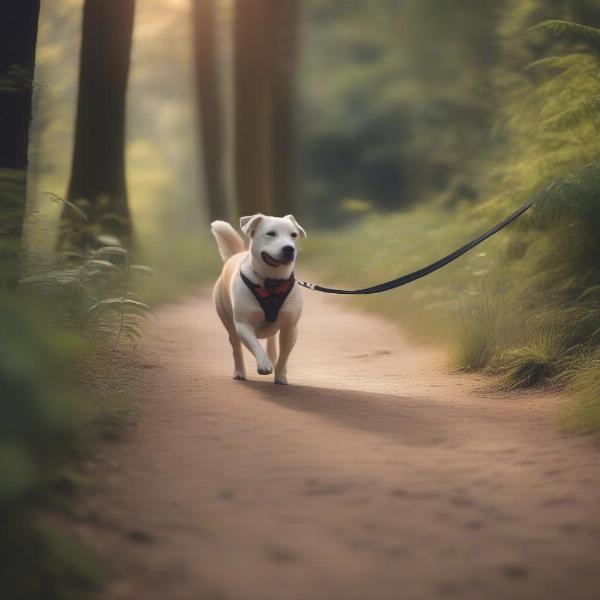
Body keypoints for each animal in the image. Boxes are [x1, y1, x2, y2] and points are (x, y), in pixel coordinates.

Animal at [210, 213, 304, 386]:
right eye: (270, 233)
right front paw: (264, 364)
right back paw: (240, 372)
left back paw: (272, 357)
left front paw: (281, 375)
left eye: (293, 235)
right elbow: (254, 345)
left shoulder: (290, 327)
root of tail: (234, 255)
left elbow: (284, 355)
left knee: (271, 340)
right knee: (236, 347)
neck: (272, 282)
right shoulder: (243, 324)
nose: (289, 248)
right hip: (228, 322)